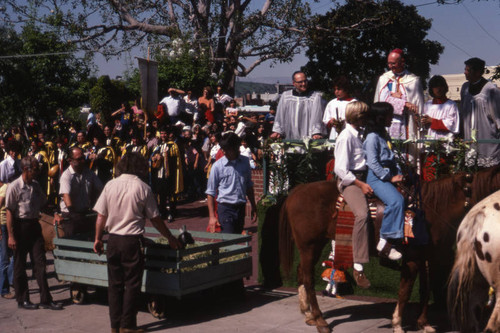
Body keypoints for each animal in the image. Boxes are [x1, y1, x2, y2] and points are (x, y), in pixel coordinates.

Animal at [280, 165, 500, 330]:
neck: (430, 209)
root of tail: (296, 190)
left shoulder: (426, 258)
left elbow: (425, 290)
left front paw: (423, 323)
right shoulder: (412, 259)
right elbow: (405, 291)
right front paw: (397, 324)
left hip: (313, 246)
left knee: (301, 272)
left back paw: (308, 314)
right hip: (310, 245)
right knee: (308, 279)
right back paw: (320, 320)